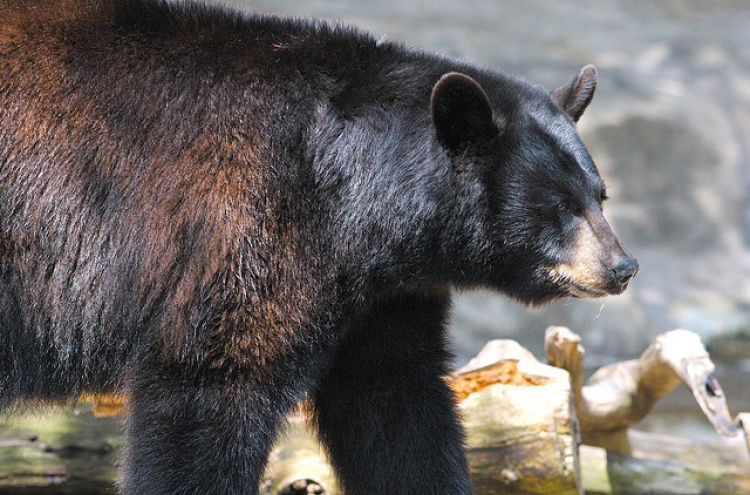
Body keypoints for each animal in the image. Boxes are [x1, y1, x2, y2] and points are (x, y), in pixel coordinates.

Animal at [0, 0, 640, 495]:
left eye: (600, 195)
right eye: (559, 205)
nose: (623, 267)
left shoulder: (385, 296)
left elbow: (396, 402)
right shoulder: (251, 231)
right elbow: (207, 389)